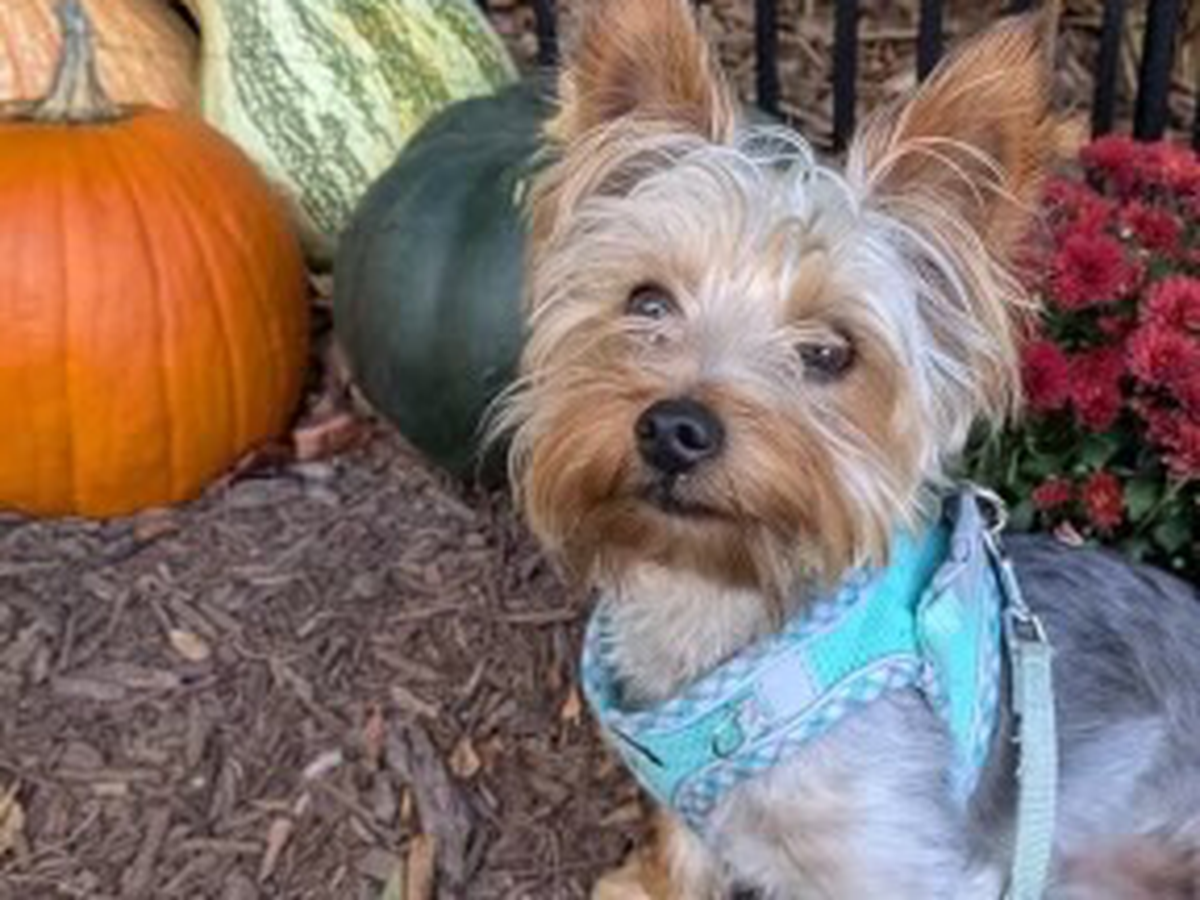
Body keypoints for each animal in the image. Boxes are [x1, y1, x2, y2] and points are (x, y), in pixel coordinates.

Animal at [498, 0, 1200, 896]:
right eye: (646, 302)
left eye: (831, 352)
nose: (674, 428)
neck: (724, 603)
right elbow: (687, 845)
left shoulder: (905, 863)